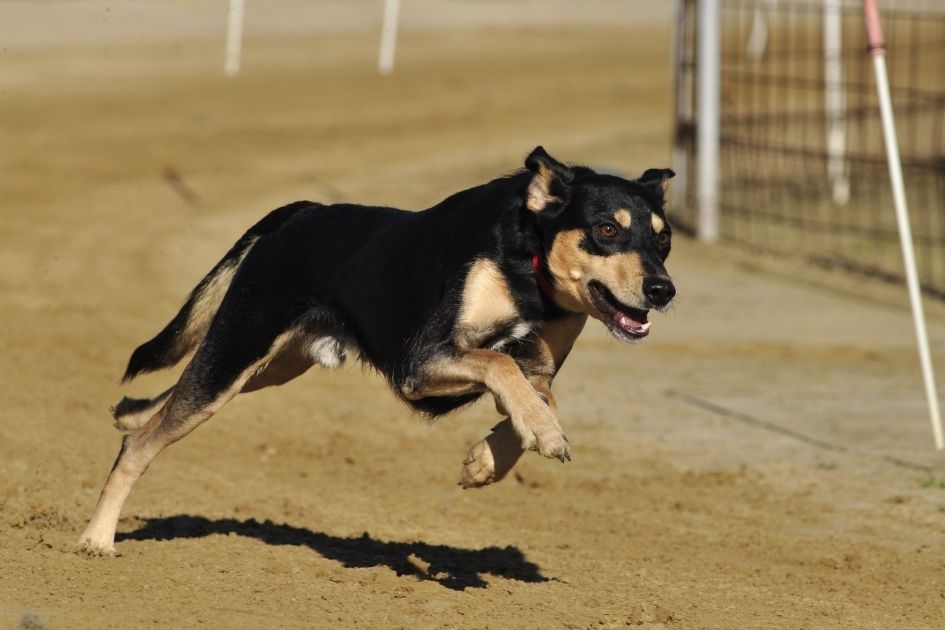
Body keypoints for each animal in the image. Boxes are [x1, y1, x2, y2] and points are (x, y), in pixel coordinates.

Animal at [77, 146, 676, 556]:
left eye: (664, 238)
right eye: (606, 229)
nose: (663, 290)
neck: (527, 267)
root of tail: (302, 211)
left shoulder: (539, 368)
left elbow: (534, 395)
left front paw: (487, 461)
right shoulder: (420, 362)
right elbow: (500, 364)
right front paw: (542, 437)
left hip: (268, 365)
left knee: (159, 409)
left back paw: (128, 415)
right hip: (238, 350)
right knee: (142, 445)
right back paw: (97, 539)